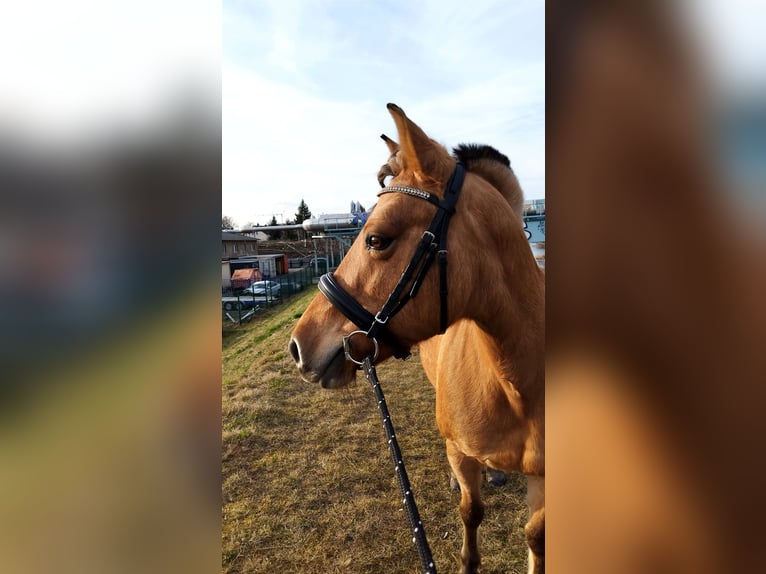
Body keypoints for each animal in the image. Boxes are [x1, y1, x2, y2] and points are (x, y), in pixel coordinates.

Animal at [288, 104, 544, 574]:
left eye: (376, 239)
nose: (298, 345)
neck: (518, 382)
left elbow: (536, 537)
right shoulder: (460, 453)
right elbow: (470, 511)